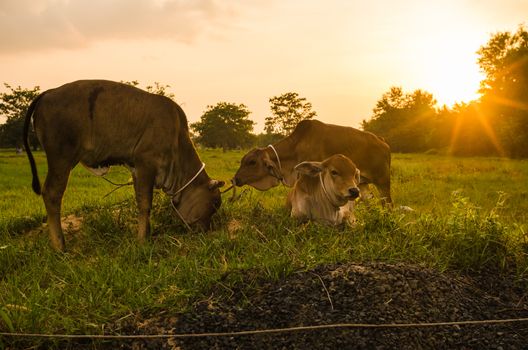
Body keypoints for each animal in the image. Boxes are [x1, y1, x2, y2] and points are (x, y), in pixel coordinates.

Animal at [24, 79, 223, 250]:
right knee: (52, 194)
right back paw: (60, 246)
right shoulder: (146, 164)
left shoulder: (136, 169)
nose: (205, 230)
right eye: (215, 202)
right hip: (61, 158)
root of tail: (49, 92)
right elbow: (145, 204)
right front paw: (142, 240)